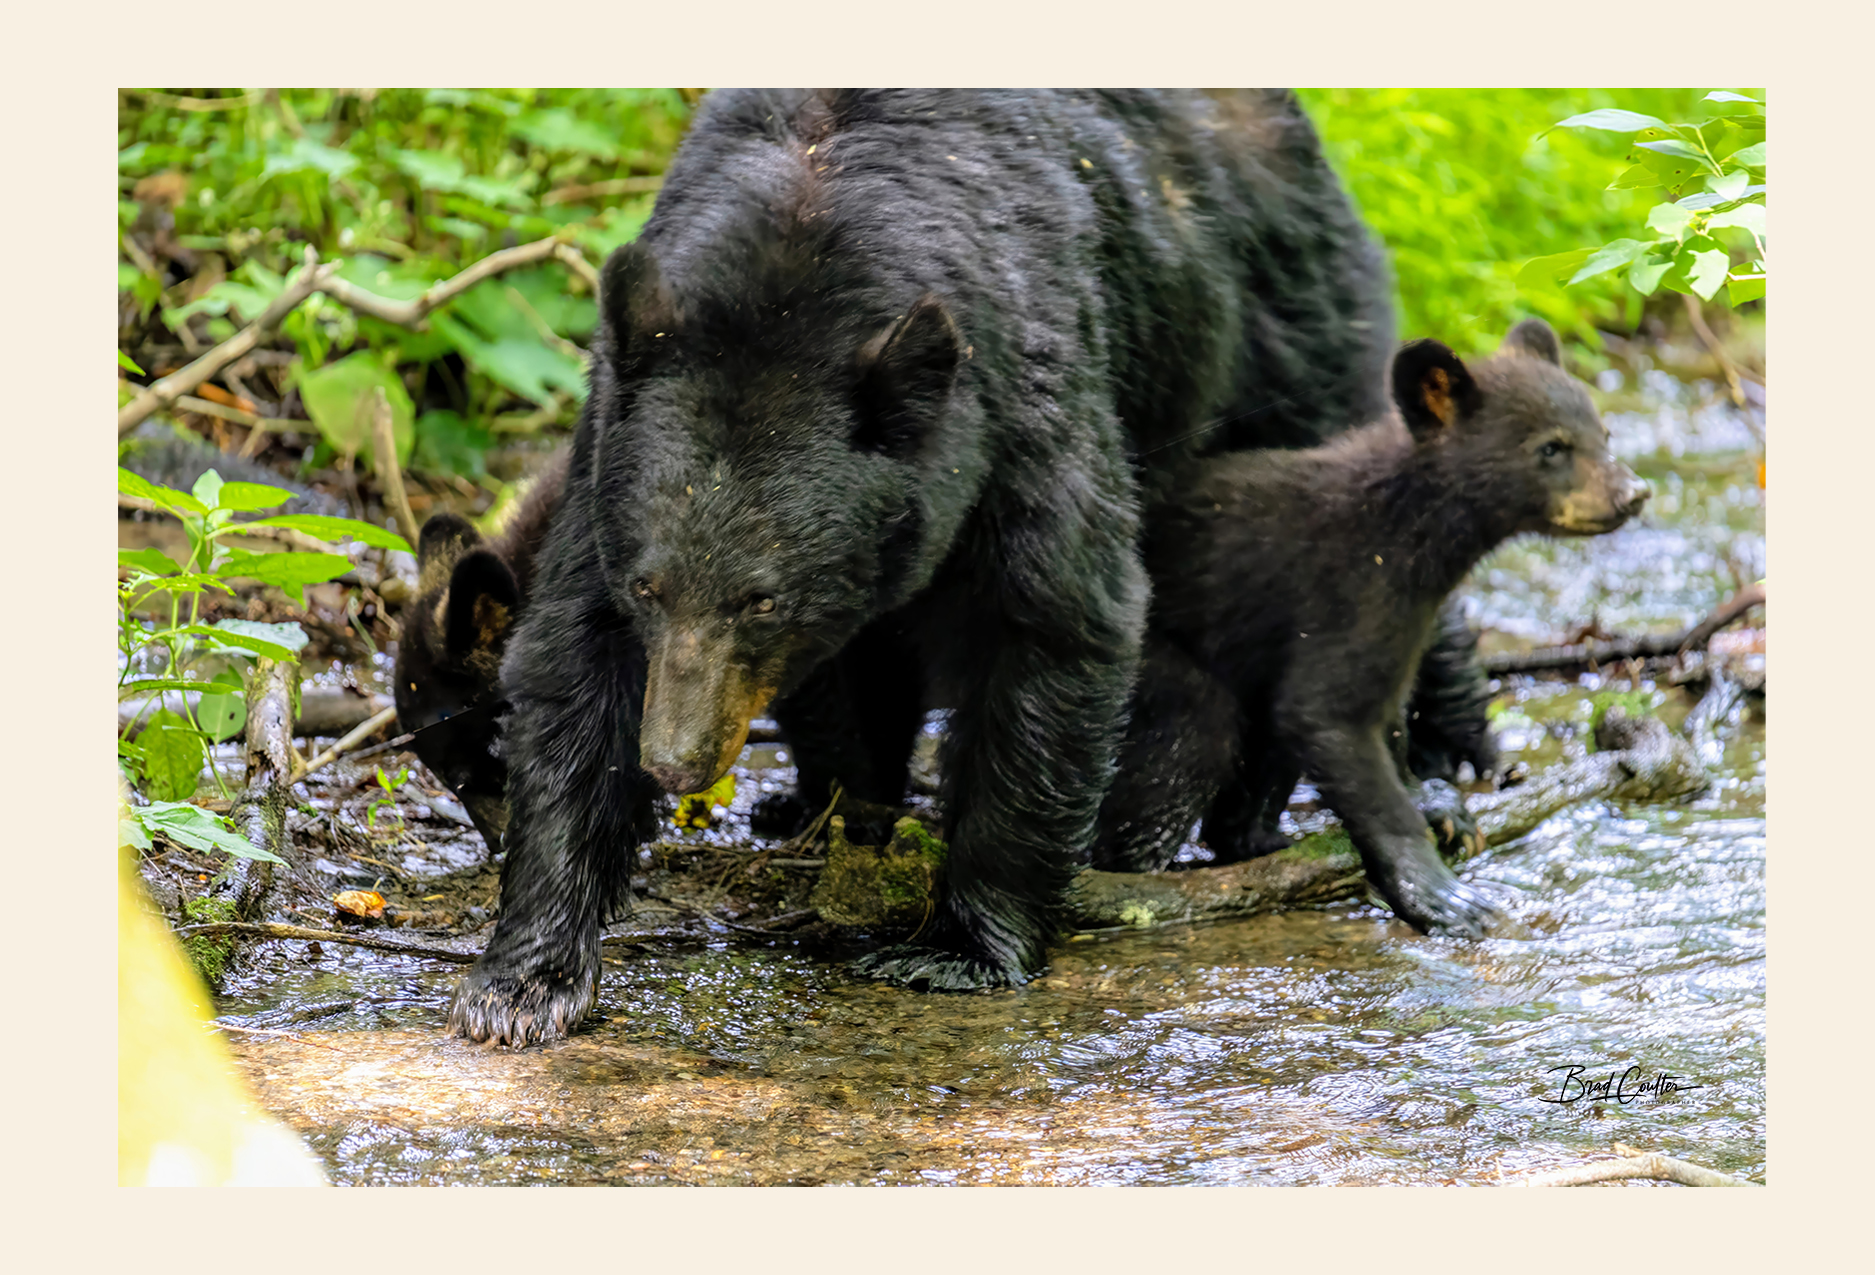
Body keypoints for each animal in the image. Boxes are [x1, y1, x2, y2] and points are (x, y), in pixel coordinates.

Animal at [448, 88, 1424, 1046]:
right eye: (649, 586)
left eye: (763, 601)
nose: (675, 762)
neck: (805, 237)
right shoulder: (608, 448)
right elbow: (575, 652)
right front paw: (524, 979)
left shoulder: (1023, 395)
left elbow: (1055, 623)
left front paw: (961, 945)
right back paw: (830, 807)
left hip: (1279, 344)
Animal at [1093, 319, 1650, 936]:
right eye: (1551, 447)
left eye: (1605, 433)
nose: (1633, 493)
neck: (1407, 531)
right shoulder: (1349, 590)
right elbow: (1326, 713)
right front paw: (1441, 894)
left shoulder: (1404, 614)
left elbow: (1387, 714)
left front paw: (1438, 801)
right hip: (1158, 664)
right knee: (1186, 743)